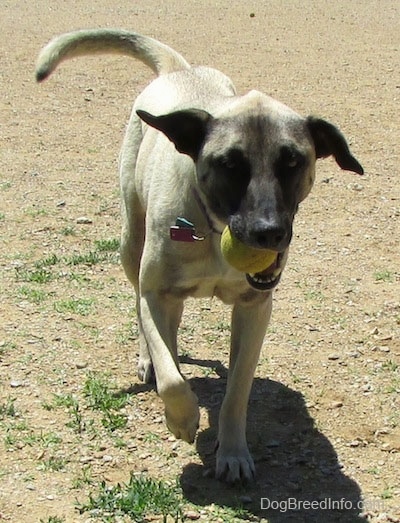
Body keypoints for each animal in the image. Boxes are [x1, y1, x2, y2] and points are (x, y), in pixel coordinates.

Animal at [36, 28, 364, 486]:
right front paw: (183, 418)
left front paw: (233, 452)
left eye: (292, 161)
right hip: (131, 243)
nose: (268, 233)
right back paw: (152, 361)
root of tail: (180, 70)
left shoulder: (255, 309)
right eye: (229, 164)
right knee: (147, 319)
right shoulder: (156, 291)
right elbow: (172, 379)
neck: (212, 228)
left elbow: (237, 391)